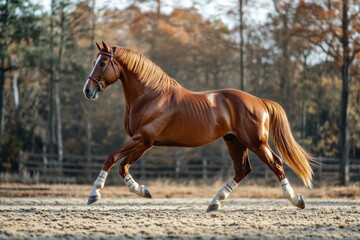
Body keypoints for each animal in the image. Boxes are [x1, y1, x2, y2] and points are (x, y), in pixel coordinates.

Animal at [84, 41, 316, 212]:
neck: (150, 95)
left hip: (256, 143)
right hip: (235, 141)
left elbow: (111, 158)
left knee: (276, 164)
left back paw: (296, 200)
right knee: (242, 169)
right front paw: (143, 190)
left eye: (102, 63)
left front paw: (94, 194)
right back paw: (215, 202)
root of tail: (259, 101)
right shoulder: (144, 142)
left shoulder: (143, 138)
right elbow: (123, 166)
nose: (88, 90)